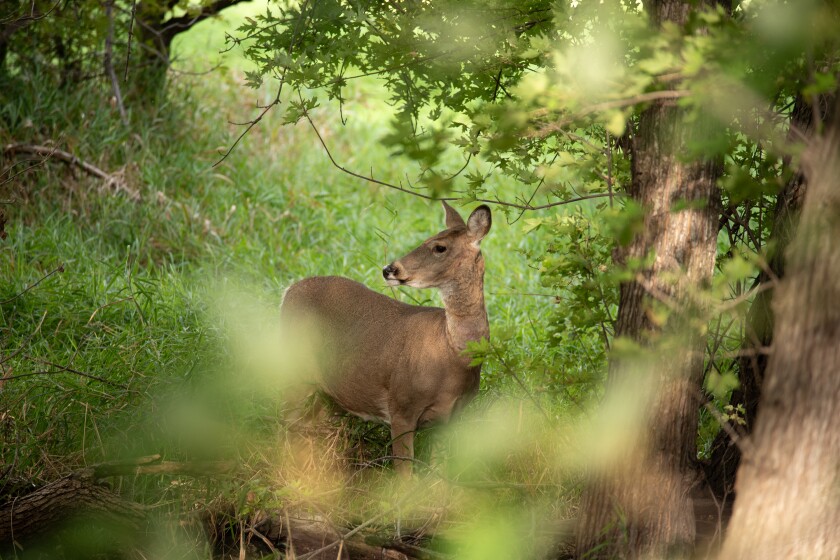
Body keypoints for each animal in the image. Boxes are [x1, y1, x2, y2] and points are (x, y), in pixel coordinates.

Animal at [280, 201, 492, 475]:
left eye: (439, 247)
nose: (389, 269)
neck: (451, 354)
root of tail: (288, 290)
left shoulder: (451, 418)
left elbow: (439, 471)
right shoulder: (401, 406)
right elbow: (404, 474)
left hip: (325, 388)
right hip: (293, 367)